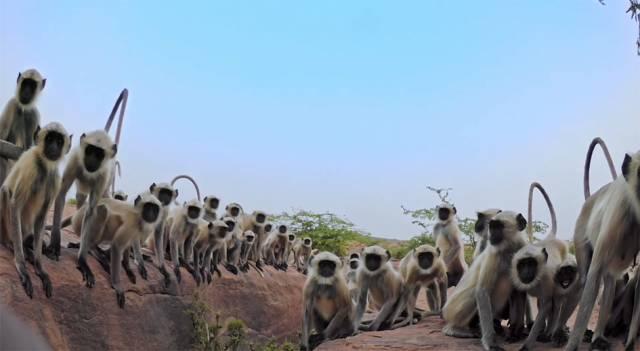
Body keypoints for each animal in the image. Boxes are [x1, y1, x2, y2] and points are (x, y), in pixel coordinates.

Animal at [0, 123, 71, 300]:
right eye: (50, 138)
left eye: (59, 141)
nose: (53, 147)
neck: (43, 165)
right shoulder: (30, 163)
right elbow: (15, 204)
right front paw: (22, 267)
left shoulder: (54, 177)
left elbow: (42, 216)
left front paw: (40, 268)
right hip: (6, 228)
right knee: (5, 191)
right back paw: (13, 245)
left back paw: (30, 250)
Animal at [48, 131, 118, 272]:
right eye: (90, 150)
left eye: (99, 154)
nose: (92, 159)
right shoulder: (75, 160)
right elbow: (61, 194)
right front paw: (55, 245)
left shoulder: (104, 175)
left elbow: (91, 210)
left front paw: (82, 260)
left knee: (101, 209)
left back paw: (92, 249)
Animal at [442, 210, 528, 350]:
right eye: (491, 227)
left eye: (498, 227)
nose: (491, 236)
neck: (510, 249)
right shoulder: (494, 253)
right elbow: (482, 291)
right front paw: (490, 343)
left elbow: (520, 292)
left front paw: (516, 332)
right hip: (452, 309)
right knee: (474, 293)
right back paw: (453, 329)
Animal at [564, 146, 640, 351]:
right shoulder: (619, 211)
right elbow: (593, 275)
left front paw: (630, 342)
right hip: (580, 234)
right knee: (586, 280)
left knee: (610, 282)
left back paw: (598, 335)